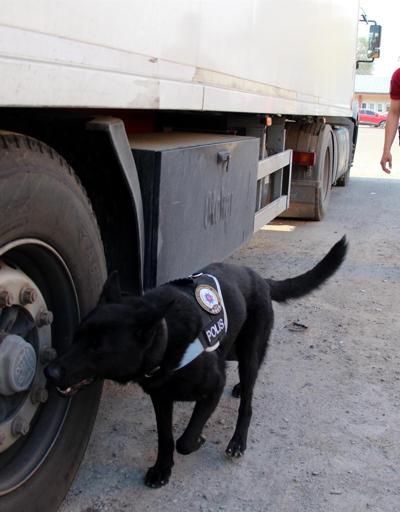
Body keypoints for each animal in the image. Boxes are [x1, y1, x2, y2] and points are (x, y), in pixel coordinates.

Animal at [45, 236, 346, 488]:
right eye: (77, 337)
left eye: (98, 348)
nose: (49, 371)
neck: (167, 338)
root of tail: (261, 278)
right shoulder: (161, 399)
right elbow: (166, 438)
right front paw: (162, 469)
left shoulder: (213, 389)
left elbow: (185, 441)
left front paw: (198, 440)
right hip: (233, 347)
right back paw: (239, 389)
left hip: (248, 352)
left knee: (248, 399)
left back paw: (238, 439)